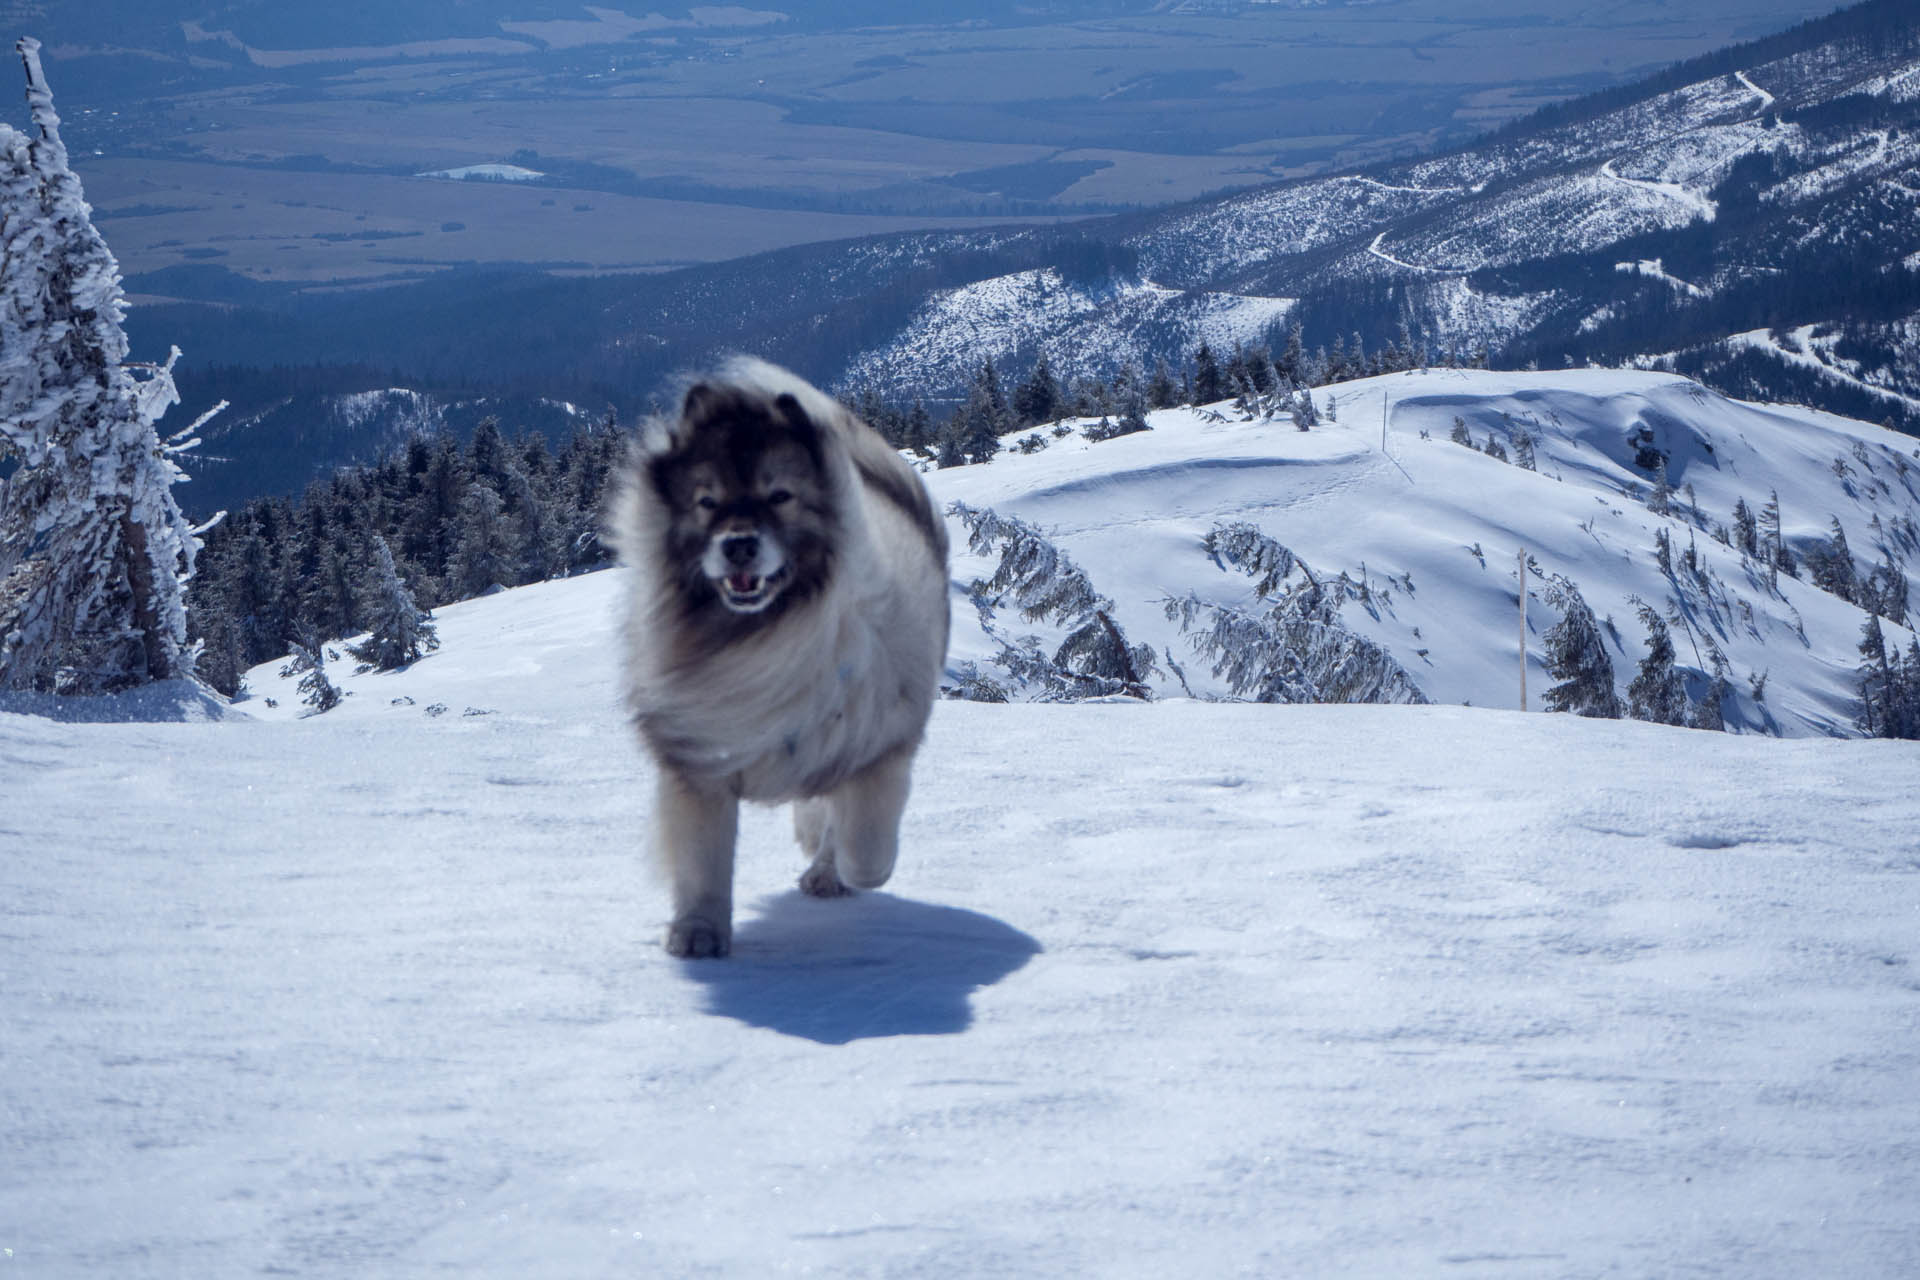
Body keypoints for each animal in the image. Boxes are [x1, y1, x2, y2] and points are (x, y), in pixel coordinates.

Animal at [610, 355, 948, 955]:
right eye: (707, 501)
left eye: (779, 496)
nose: (738, 544)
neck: (766, 636)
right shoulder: (700, 761)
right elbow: (703, 862)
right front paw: (698, 933)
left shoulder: (879, 749)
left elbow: (866, 848)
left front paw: (844, 870)